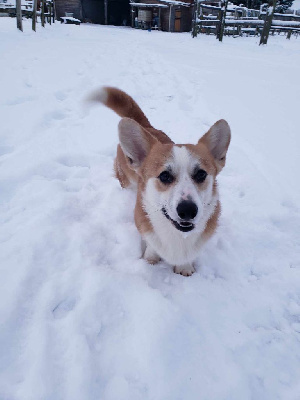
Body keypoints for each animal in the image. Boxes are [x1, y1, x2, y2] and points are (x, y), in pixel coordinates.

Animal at [88, 87, 231, 276]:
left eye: (201, 174)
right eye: (164, 176)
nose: (188, 210)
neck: (177, 236)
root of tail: (146, 126)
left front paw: (184, 268)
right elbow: (152, 248)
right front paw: (151, 261)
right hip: (126, 181)